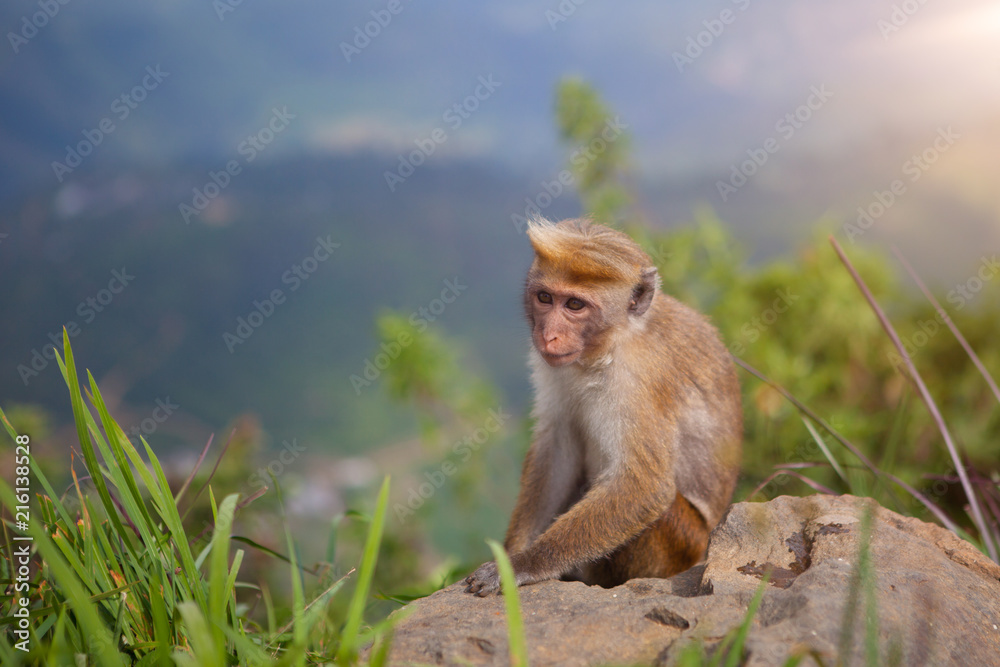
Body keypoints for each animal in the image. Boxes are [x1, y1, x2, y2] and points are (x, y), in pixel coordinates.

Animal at [464, 217, 742, 596]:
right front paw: (510, 556)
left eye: (575, 305)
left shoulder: (638, 382)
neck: (608, 346)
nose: (548, 335)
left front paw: (523, 564)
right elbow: (558, 452)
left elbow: (643, 486)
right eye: (545, 297)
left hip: (681, 543)